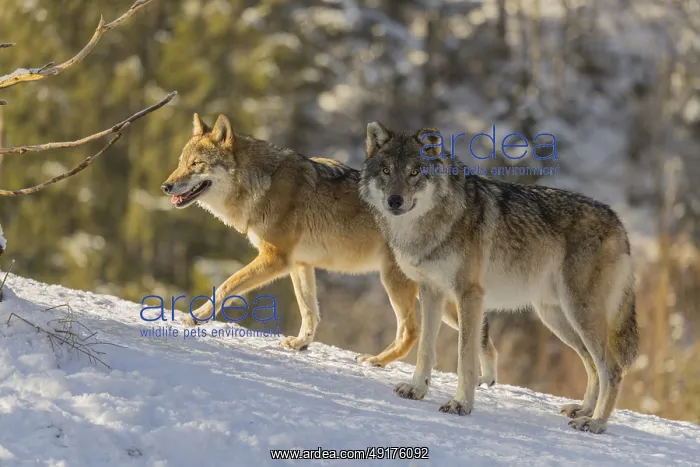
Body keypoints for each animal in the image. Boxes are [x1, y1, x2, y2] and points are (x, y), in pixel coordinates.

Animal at [160, 113, 499, 383]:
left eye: (196, 165)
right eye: (179, 164)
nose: (166, 186)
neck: (262, 184)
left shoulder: (275, 259)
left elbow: (226, 286)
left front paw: (195, 317)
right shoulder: (299, 265)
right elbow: (310, 311)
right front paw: (301, 344)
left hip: (395, 282)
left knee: (412, 331)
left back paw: (376, 361)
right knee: (484, 339)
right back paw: (484, 382)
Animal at [359, 122, 639, 434]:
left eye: (415, 172)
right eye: (386, 171)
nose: (394, 201)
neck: (429, 225)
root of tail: (619, 224)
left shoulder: (469, 295)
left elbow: (465, 357)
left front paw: (461, 404)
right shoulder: (431, 293)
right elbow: (425, 350)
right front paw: (417, 389)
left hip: (580, 315)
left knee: (612, 369)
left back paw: (596, 422)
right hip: (558, 319)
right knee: (592, 365)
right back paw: (583, 410)